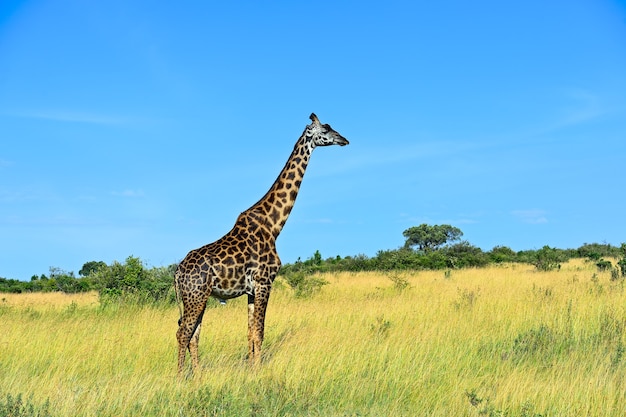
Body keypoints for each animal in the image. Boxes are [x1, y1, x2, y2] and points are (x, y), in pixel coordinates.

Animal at [176, 112, 348, 372]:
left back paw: (197, 375)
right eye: (326, 129)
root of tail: (177, 273)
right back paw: (178, 377)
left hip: (198, 297)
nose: (344, 140)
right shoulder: (265, 282)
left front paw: (250, 368)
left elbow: (250, 332)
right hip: (195, 295)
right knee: (183, 333)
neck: (274, 225)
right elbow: (260, 332)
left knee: (193, 333)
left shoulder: (251, 289)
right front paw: (258, 372)